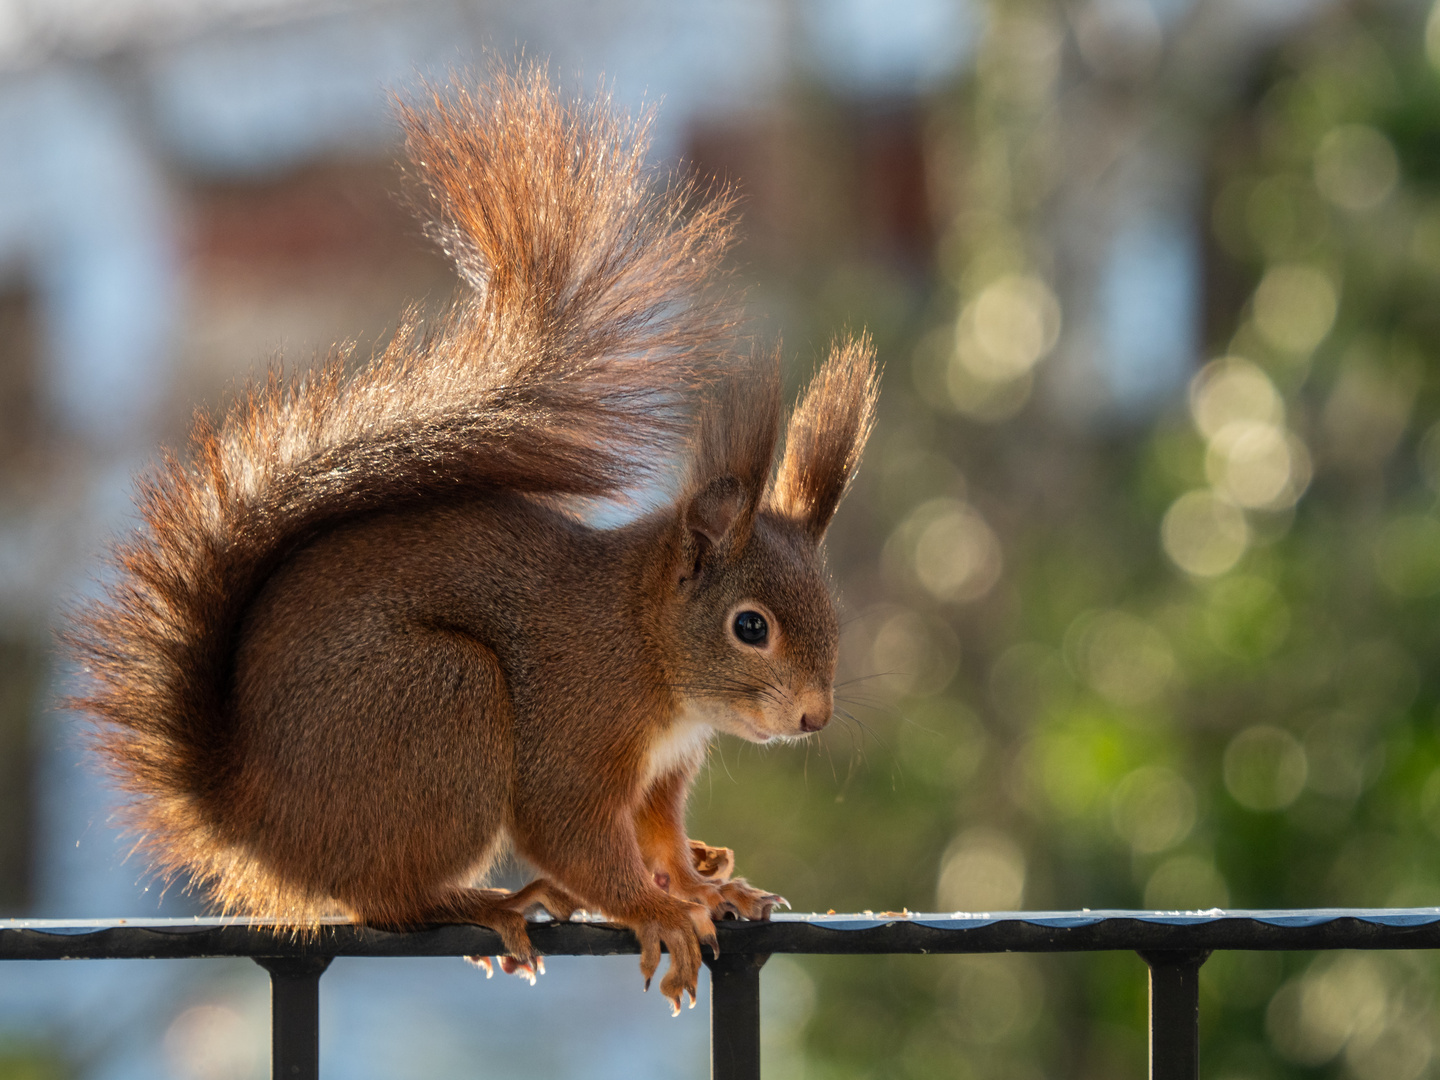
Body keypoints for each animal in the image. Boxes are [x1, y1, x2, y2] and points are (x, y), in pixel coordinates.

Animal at [67, 65, 875, 1013]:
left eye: (831, 614)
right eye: (750, 627)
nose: (814, 716)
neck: (647, 650)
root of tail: (253, 817)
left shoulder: (659, 777)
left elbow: (660, 837)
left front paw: (704, 887)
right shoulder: (572, 723)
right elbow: (572, 834)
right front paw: (656, 911)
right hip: (444, 706)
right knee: (385, 897)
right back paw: (492, 901)